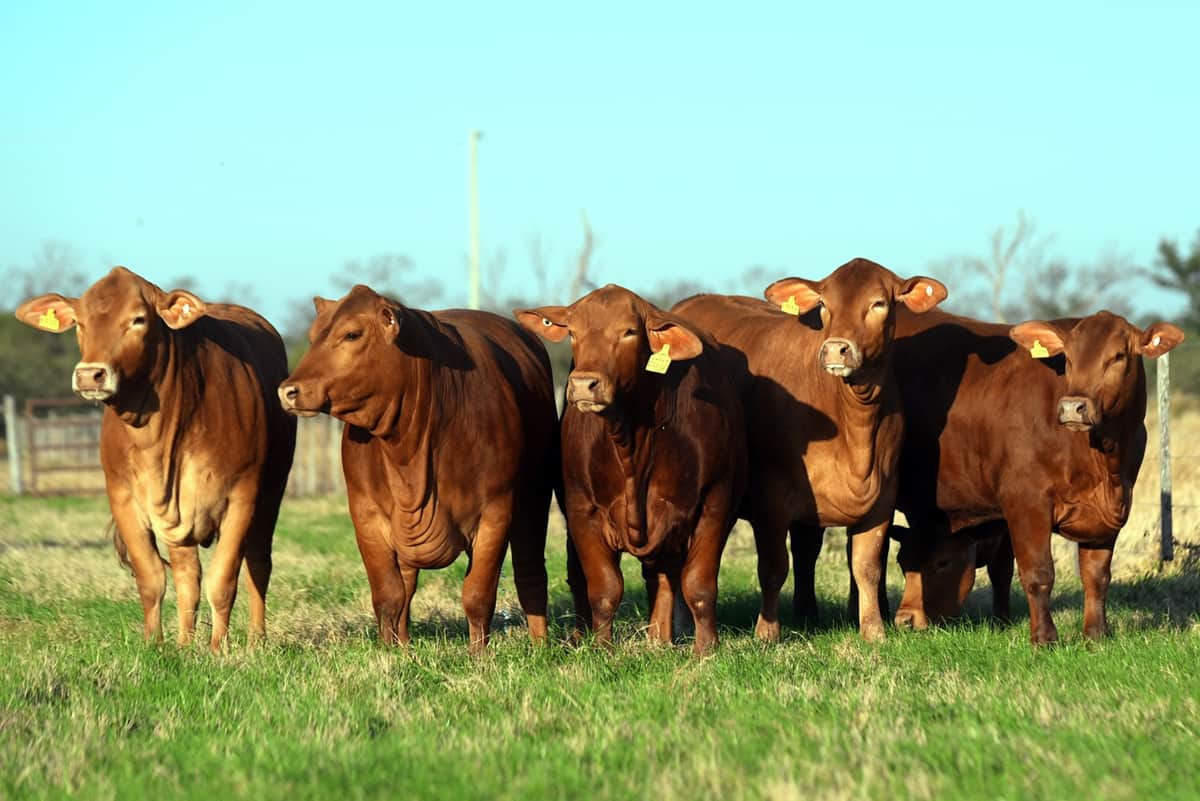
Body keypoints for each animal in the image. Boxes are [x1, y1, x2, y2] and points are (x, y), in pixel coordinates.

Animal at [15, 266, 296, 650]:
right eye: (80, 322)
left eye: (138, 319)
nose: (90, 375)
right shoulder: (123, 497)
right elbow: (151, 578)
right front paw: (155, 644)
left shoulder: (243, 496)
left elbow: (224, 580)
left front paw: (218, 648)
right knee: (188, 576)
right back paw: (184, 643)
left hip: (271, 494)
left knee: (257, 563)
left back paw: (255, 639)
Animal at [278, 285, 556, 653]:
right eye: (312, 336)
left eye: (352, 334)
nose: (288, 391)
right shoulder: (365, 514)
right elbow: (389, 594)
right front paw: (389, 651)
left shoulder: (496, 513)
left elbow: (477, 594)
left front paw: (478, 656)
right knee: (407, 585)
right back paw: (404, 642)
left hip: (535, 496)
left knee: (530, 571)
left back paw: (541, 645)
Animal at [516, 285, 748, 655]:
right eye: (573, 332)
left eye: (628, 331)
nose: (584, 384)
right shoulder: (582, 510)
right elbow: (604, 588)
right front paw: (602, 649)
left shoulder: (714, 504)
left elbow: (699, 585)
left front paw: (706, 649)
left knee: (666, 577)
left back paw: (659, 638)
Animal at [673, 258, 948, 641]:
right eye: (824, 306)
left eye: (879, 303)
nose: (835, 349)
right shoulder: (771, 498)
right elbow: (773, 567)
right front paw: (766, 633)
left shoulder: (883, 497)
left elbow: (866, 567)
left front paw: (873, 630)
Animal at [891, 308, 1183, 643]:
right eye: (1068, 358)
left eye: (1118, 356)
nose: (1072, 407)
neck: (1103, 458)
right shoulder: (1025, 504)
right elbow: (1038, 573)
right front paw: (1044, 637)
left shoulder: (1111, 510)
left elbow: (1095, 575)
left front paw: (1095, 634)